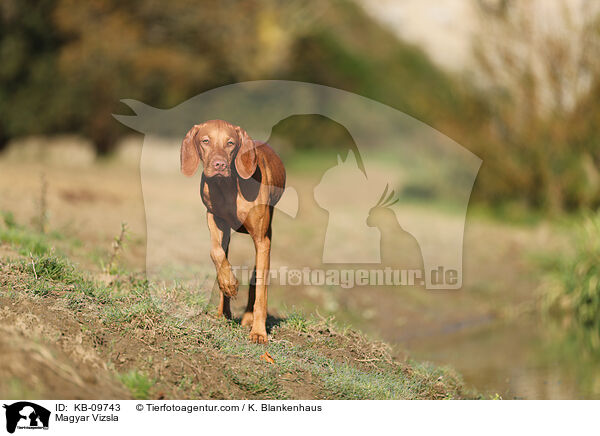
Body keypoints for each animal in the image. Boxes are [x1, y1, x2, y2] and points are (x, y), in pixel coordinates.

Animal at [179, 120, 284, 344]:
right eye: (205, 141)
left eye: (230, 143)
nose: (219, 165)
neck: (228, 186)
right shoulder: (214, 220)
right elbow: (216, 253)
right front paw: (229, 283)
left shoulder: (262, 239)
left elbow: (261, 292)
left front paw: (259, 332)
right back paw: (223, 312)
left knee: (257, 276)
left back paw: (248, 318)